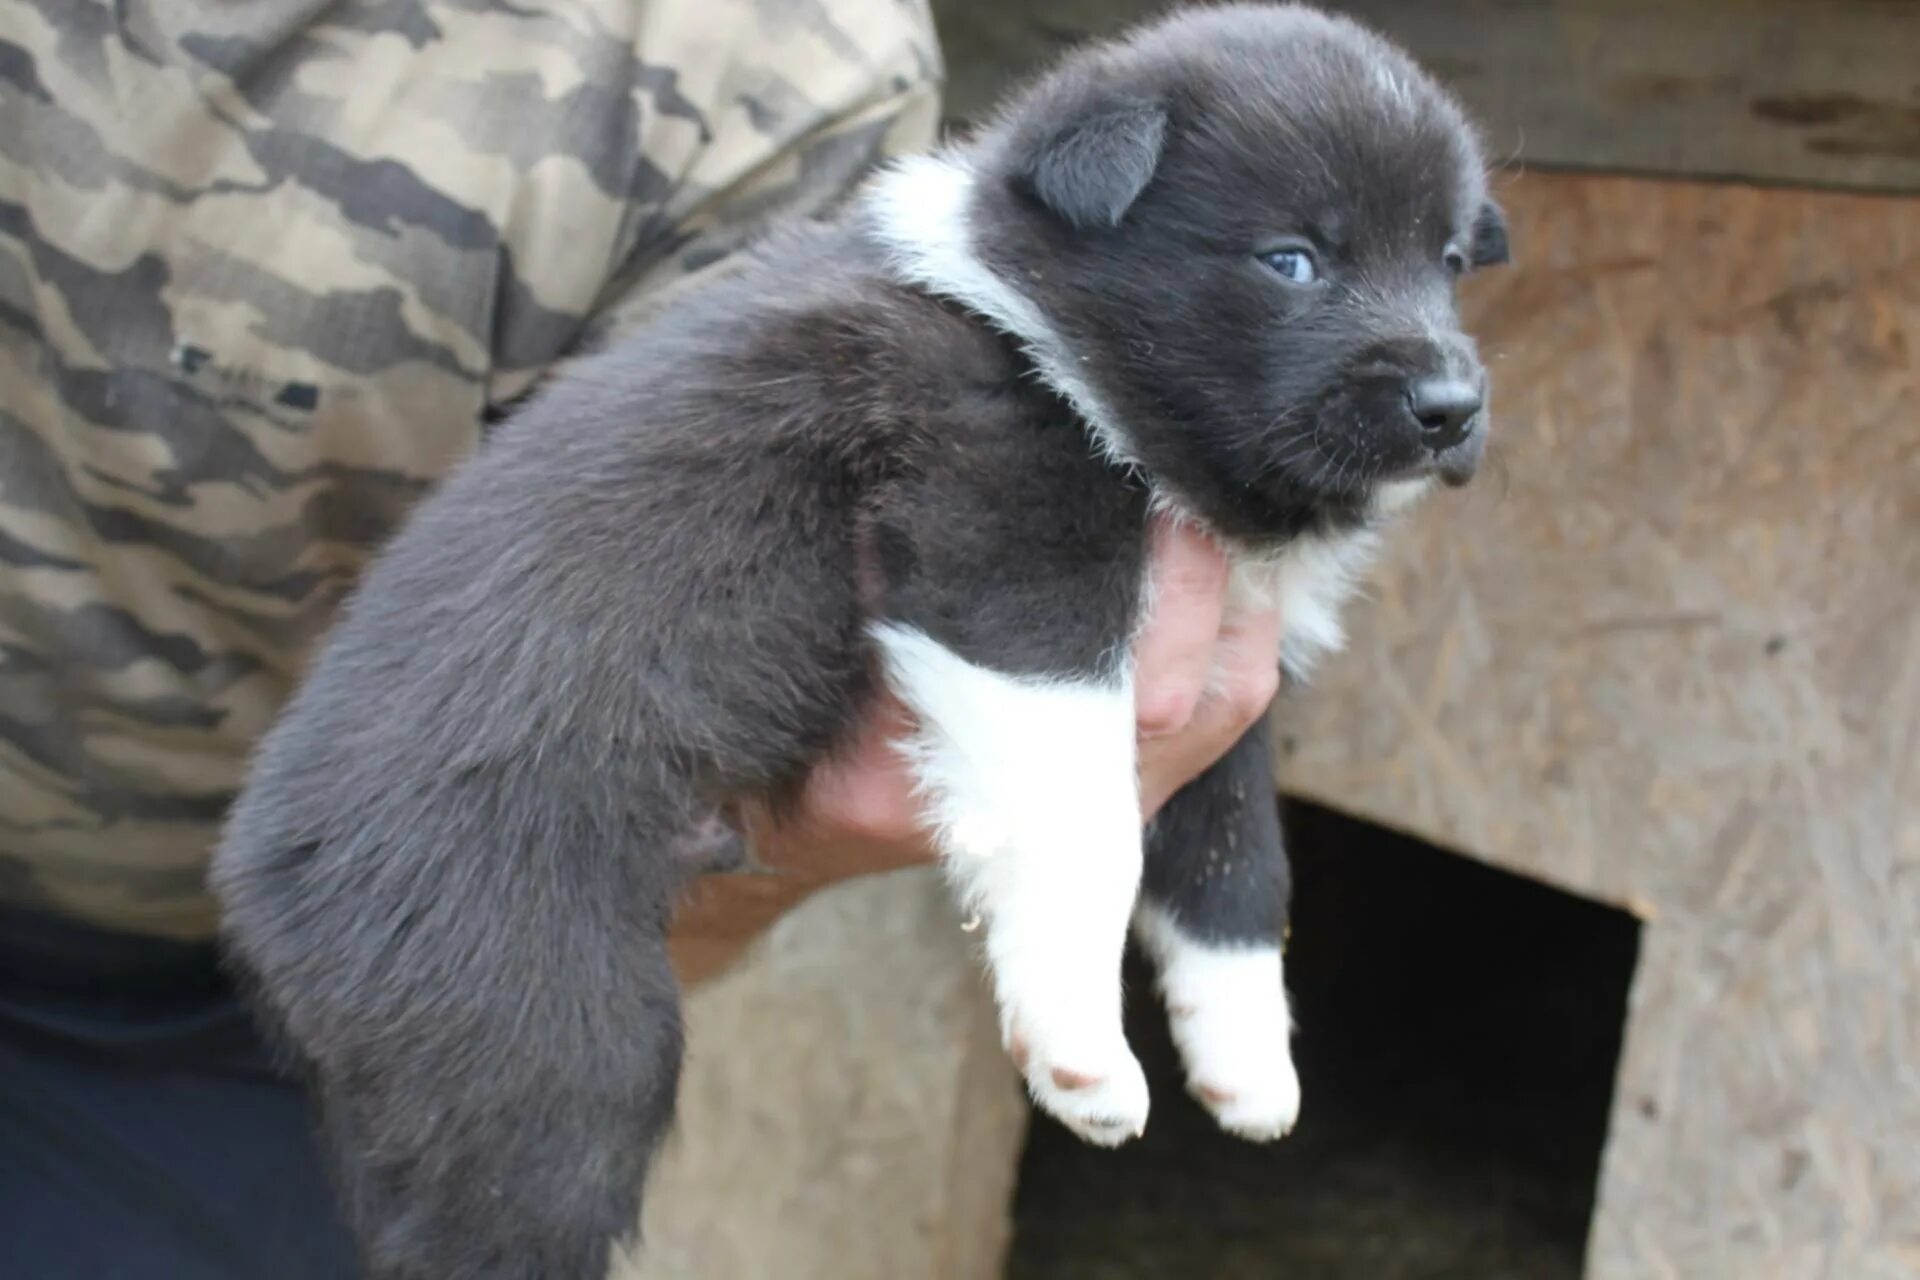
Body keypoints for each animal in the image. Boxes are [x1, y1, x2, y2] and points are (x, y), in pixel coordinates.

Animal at [206, 5, 1497, 1274]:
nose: (1452, 408)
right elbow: (1082, 828)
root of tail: (252, 886)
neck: (1045, 332)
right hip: (539, 1034)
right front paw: (1081, 1050)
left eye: (1447, 261)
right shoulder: (1008, 562)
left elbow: (1239, 853)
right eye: (1293, 259)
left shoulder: (1229, 666)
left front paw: (1247, 1057)